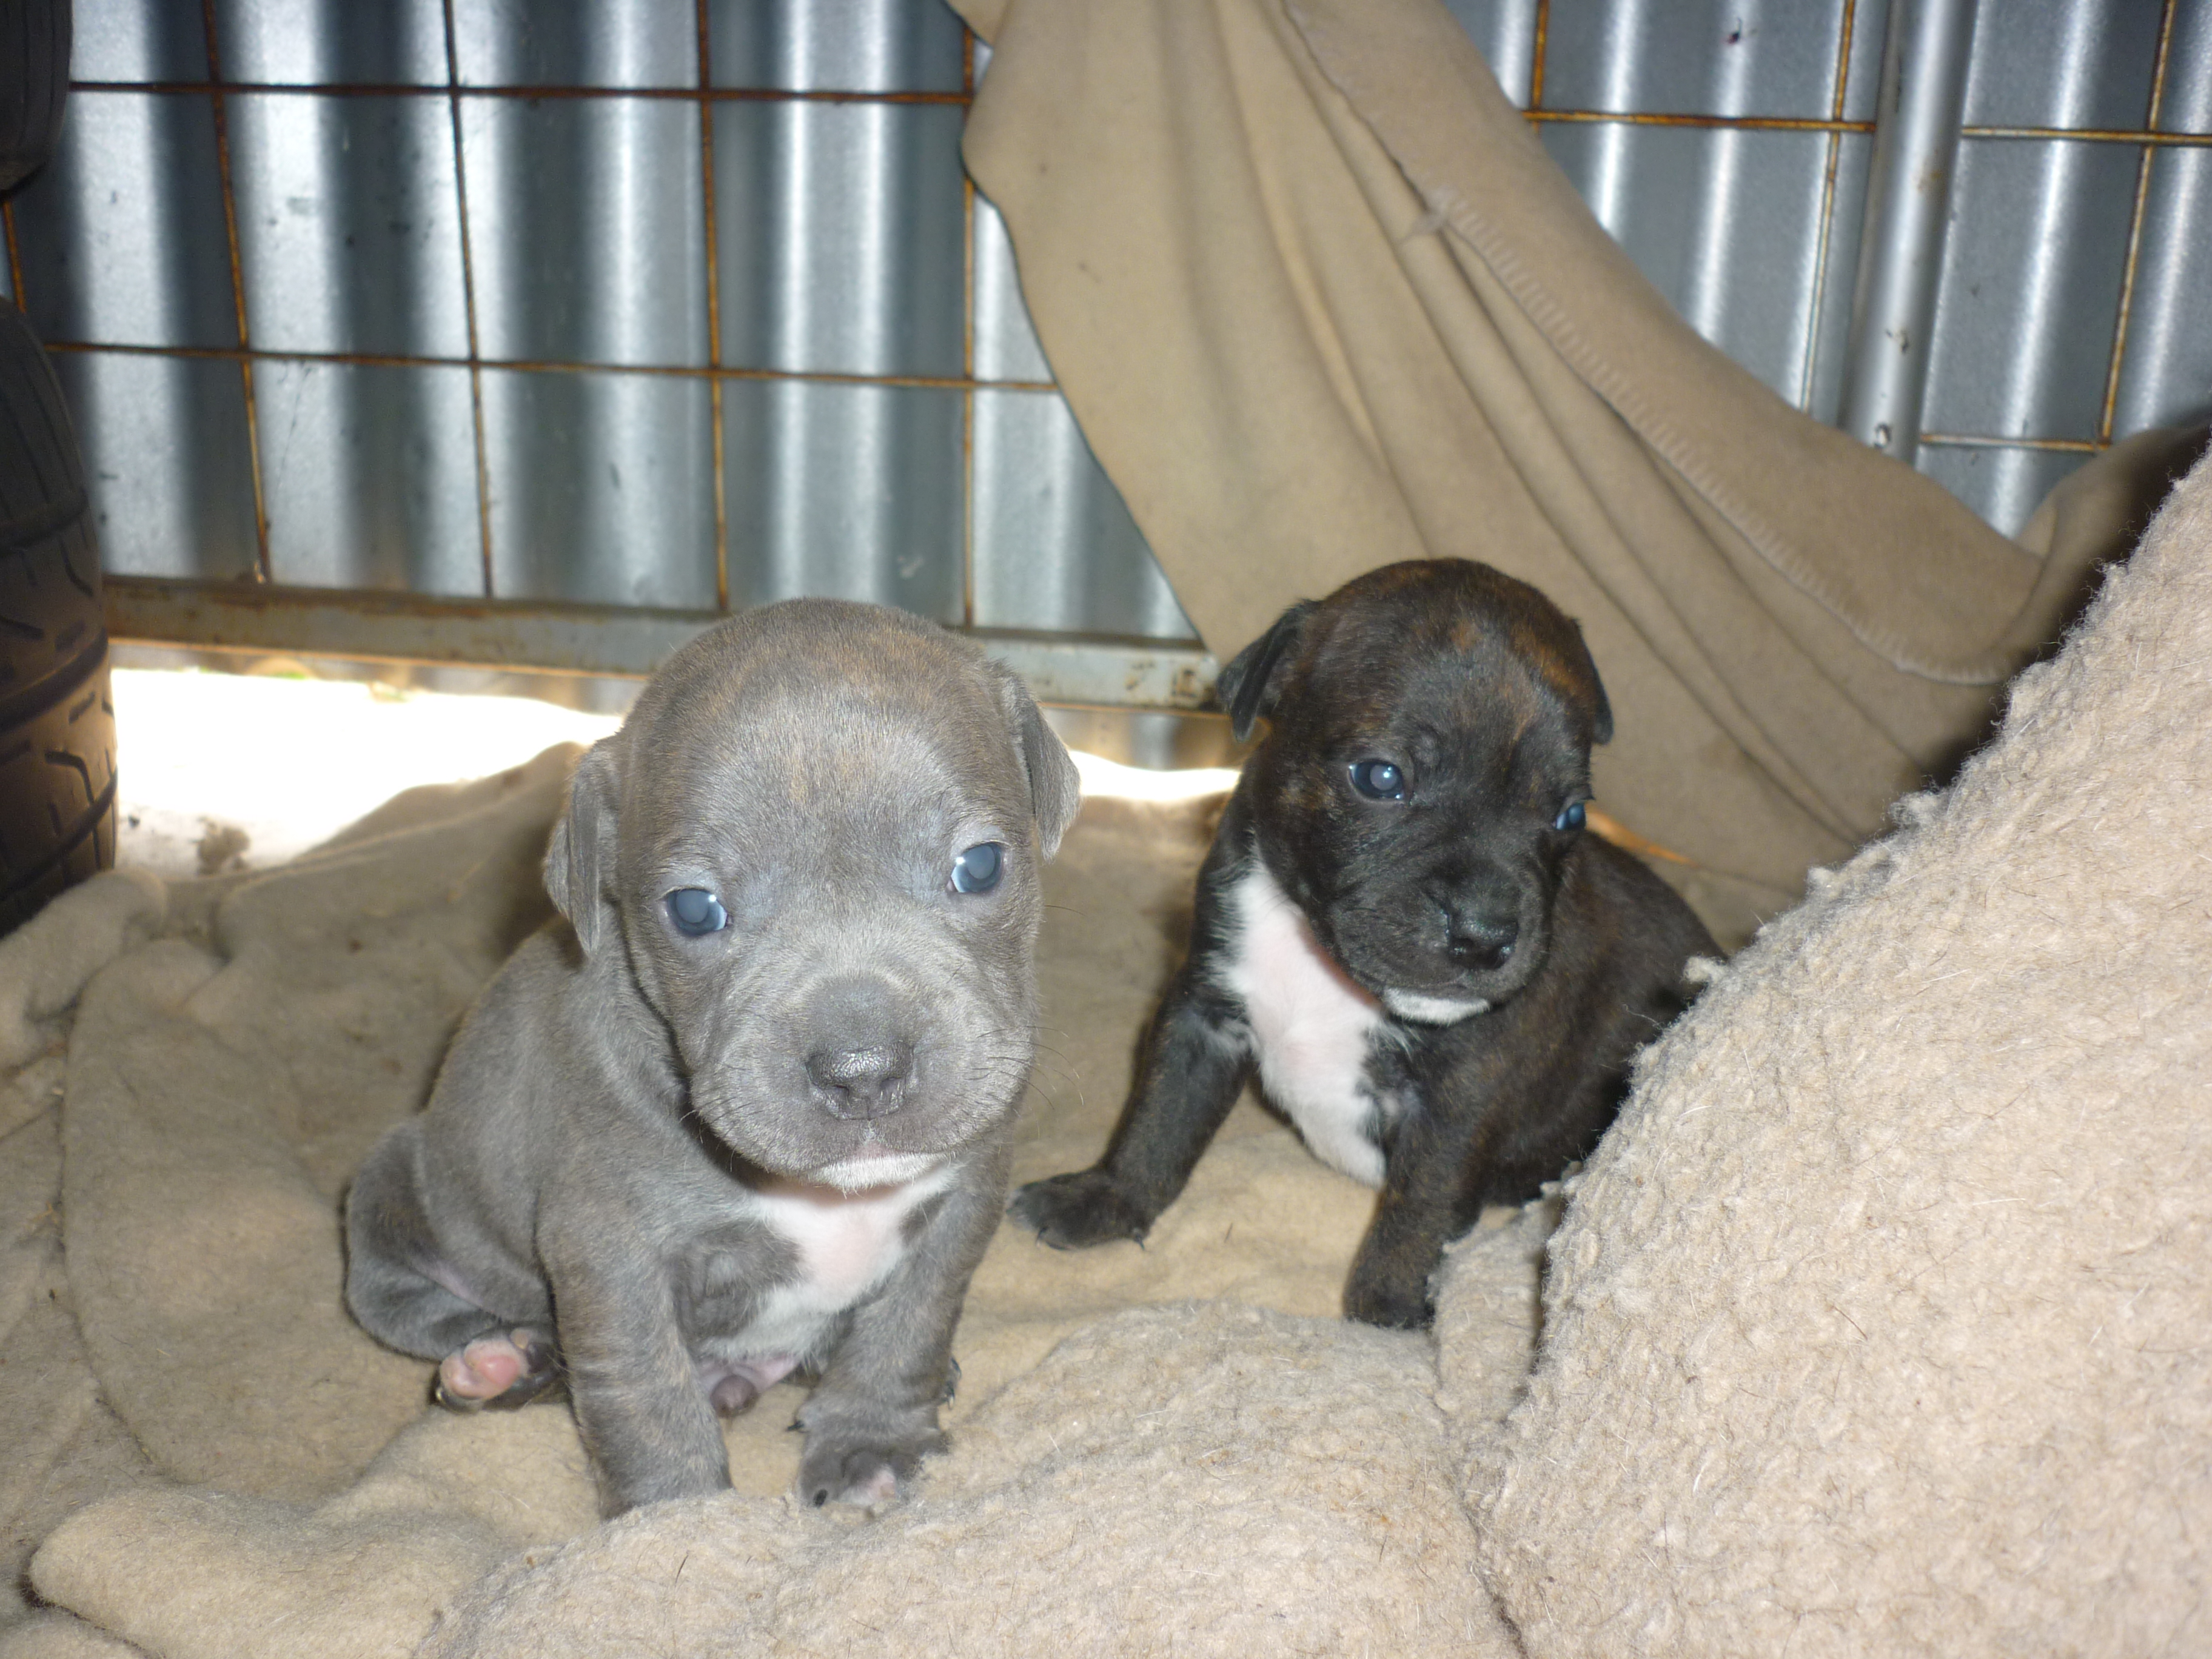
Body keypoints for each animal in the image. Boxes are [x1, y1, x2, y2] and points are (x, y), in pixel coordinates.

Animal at [338, 602, 1088, 1521]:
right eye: (694, 911)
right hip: (390, 1189)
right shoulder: (608, 1251)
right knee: (423, 1309)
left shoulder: (964, 1197)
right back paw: (499, 1362)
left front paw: (872, 1444)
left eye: (980, 866)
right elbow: (644, 1397)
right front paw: (678, 1524)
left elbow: (908, 1326)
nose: (862, 1069)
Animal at [1013, 566, 1716, 1336]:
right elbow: (1160, 1118)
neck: (1317, 955)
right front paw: (1107, 1198)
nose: (1485, 931)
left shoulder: (1461, 1100)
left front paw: (1389, 1315)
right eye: (1381, 778)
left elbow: (1419, 1211)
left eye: (1570, 817)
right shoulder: (1203, 1014)